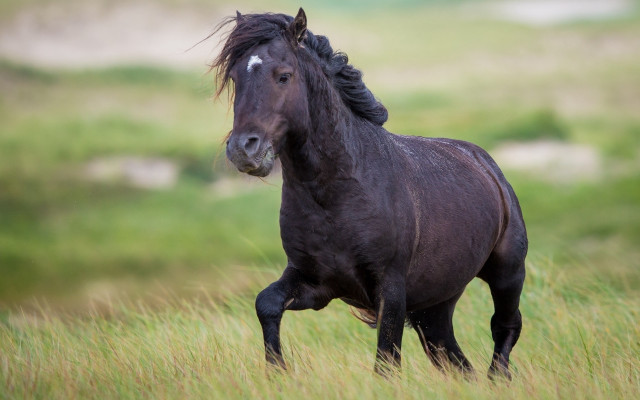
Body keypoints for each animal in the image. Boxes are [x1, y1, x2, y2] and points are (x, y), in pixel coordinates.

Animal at [212, 8, 527, 379]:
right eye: (235, 77)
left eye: (283, 76)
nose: (243, 150)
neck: (337, 194)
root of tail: (489, 168)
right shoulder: (315, 282)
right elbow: (267, 303)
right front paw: (278, 371)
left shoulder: (390, 289)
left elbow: (386, 361)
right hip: (437, 302)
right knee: (450, 353)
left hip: (507, 272)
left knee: (505, 328)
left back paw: (498, 379)